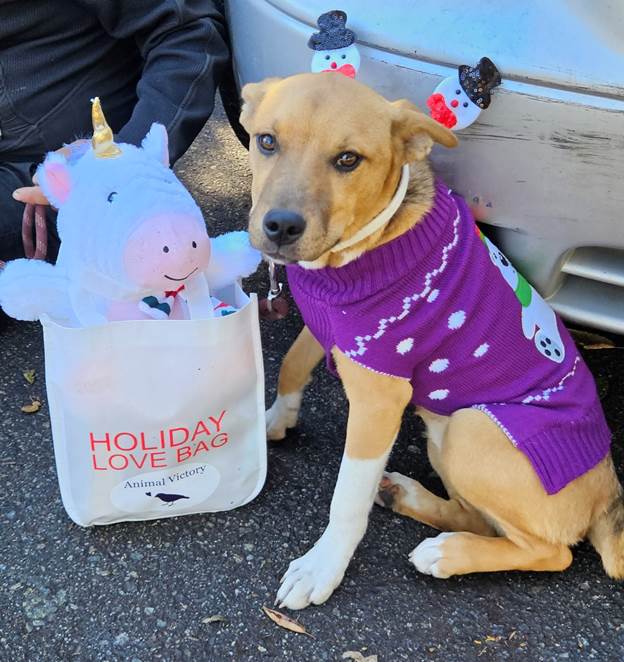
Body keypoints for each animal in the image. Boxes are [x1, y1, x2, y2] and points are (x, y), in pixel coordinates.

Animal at [240, 72, 624, 610]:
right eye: (267, 141)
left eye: (348, 159)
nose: (279, 227)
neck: (362, 248)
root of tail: (608, 495)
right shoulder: (333, 330)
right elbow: (293, 364)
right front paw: (277, 418)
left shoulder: (379, 399)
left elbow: (347, 497)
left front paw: (322, 567)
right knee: (479, 517)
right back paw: (411, 502)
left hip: (472, 429)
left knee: (553, 552)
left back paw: (448, 554)